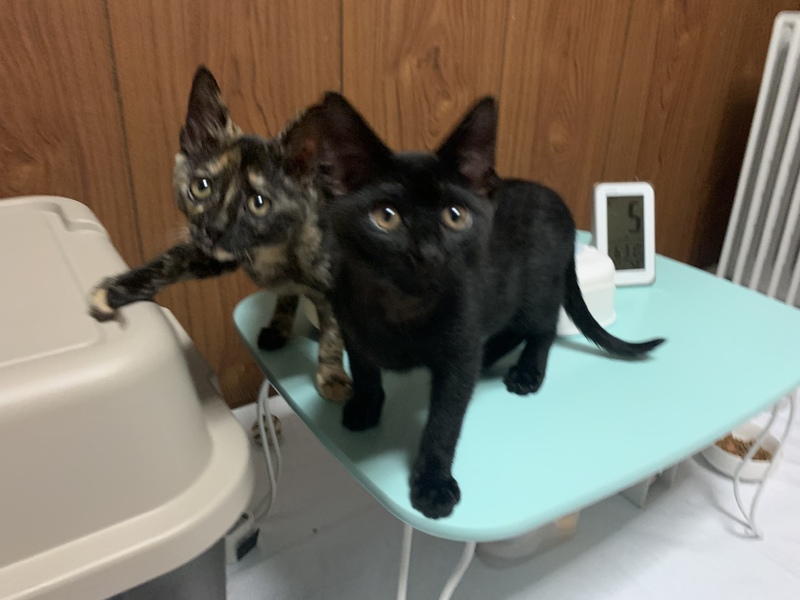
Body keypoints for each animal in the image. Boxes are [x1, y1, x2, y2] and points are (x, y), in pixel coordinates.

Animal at [88, 66, 351, 402]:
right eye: (201, 187)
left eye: (259, 203)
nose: (213, 228)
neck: (272, 249)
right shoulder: (215, 253)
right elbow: (170, 262)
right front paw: (114, 290)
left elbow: (334, 328)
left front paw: (332, 375)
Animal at [294, 92, 665, 518]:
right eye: (386, 217)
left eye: (455, 216)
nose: (430, 254)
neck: (401, 307)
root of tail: (559, 203)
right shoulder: (352, 326)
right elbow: (366, 368)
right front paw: (365, 405)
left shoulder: (459, 351)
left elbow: (444, 422)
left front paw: (433, 483)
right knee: (512, 327)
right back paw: (490, 356)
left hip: (538, 286)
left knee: (542, 327)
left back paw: (527, 372)